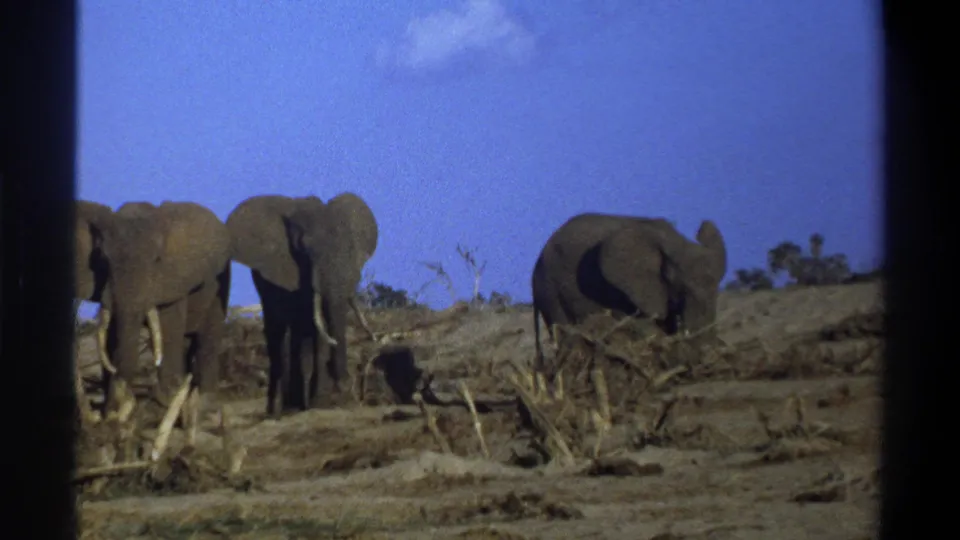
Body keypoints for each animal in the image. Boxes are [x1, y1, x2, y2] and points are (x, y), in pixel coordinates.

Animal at [78, 200, 232, 432]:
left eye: (157, 260)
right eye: (103, 259)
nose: (117, 410)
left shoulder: (173, 279)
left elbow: (168, 326)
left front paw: (161, 407)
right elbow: (114, 333)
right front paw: (109, 413)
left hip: (221, 281)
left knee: (209, 338)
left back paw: (203, 409)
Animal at [226, 192, 379, 417]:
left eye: (351, 248)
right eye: (305, 250)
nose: (344, 382)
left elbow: (317, 325)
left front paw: (322, 402)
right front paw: (318, 401)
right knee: (277, 331)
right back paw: (277, 410)